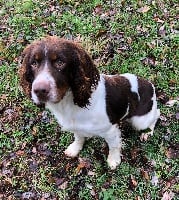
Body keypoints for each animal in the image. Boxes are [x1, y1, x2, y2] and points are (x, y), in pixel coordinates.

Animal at [18, 35, 160, 169]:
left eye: (60, 62)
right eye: (34, 63)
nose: (39, 90)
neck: (70, 104)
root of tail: (150, 85)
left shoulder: (110, 130)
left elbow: (114, 146)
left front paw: (114, 160)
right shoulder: (76, 127)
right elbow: (78, 137)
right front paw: (74, 149)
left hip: (139, 121)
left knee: (156, 115)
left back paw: (147, 133)